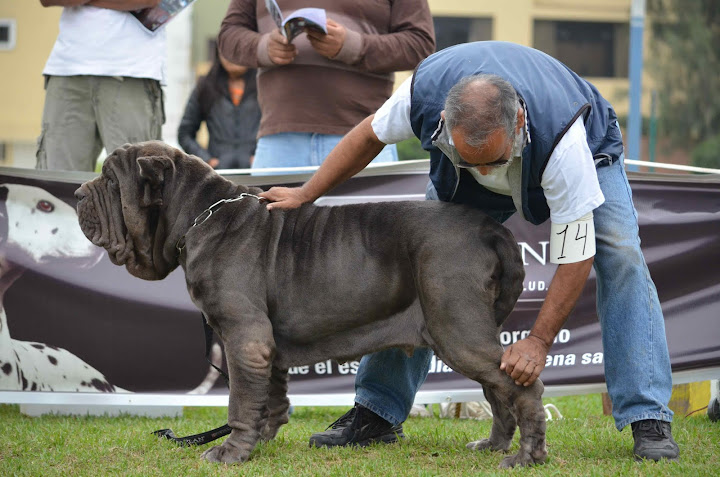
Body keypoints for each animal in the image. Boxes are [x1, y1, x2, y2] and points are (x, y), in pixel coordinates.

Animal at [76, 142, 544, 468]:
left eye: (111, 181)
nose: (79, 192)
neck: (200, 213)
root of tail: (488, 229)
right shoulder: (264, 343)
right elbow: (269, 397)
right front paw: (261, 442)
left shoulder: (243, 336)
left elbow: (240, 400)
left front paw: (229, 453)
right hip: (468, 330)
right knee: (497, 390)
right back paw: (493, 445)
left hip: (457, 328)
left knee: (521, 386)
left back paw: (526, 457)